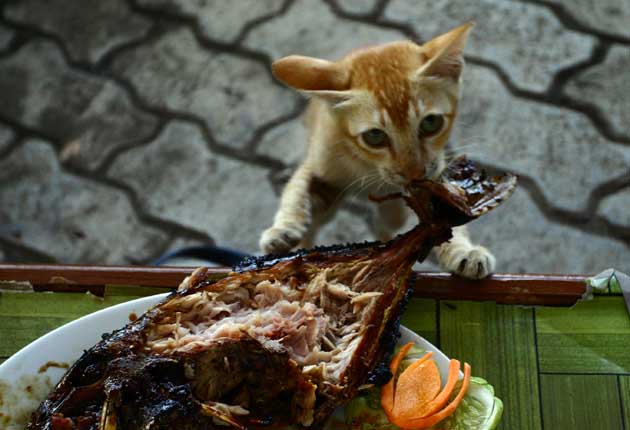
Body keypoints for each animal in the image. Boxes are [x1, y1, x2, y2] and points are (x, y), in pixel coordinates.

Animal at [260, 23, 496, 278]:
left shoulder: (431, 177)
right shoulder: (318, 162)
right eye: (374, 136)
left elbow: (442, 211)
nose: (415, 173)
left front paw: (464, 251)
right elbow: (296, 189)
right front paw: (283, 230)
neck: (369, 166)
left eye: (431, 123)